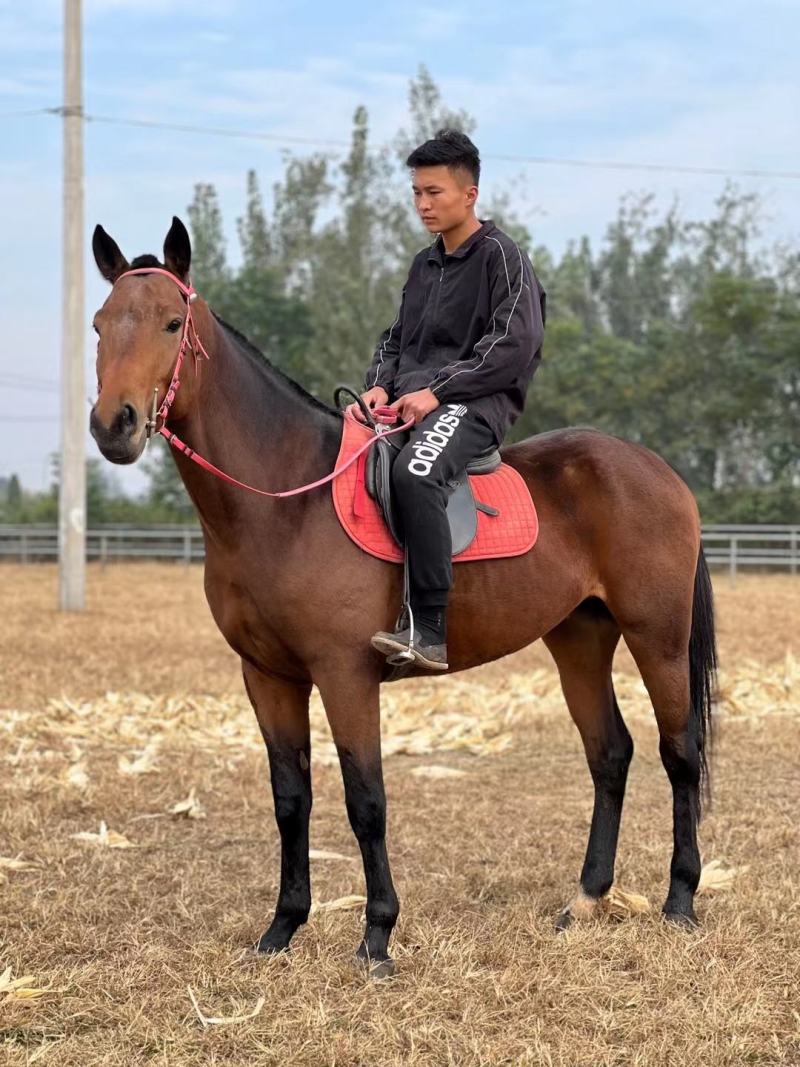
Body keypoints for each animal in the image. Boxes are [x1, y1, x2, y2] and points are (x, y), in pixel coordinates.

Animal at [89, 217, 717, 977]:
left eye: (172, 323)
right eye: (99, 325)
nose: (114, 425)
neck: (284, 499)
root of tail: (657, 469)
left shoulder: (345, 674)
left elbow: (366, 801)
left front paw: (377, 937)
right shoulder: (267, 677)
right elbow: (291, 800)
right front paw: (281, 929)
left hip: (658, 636)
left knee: (678, 752)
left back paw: (679, 901)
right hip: (579, 638)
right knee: (611, 754)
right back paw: (587, 899)